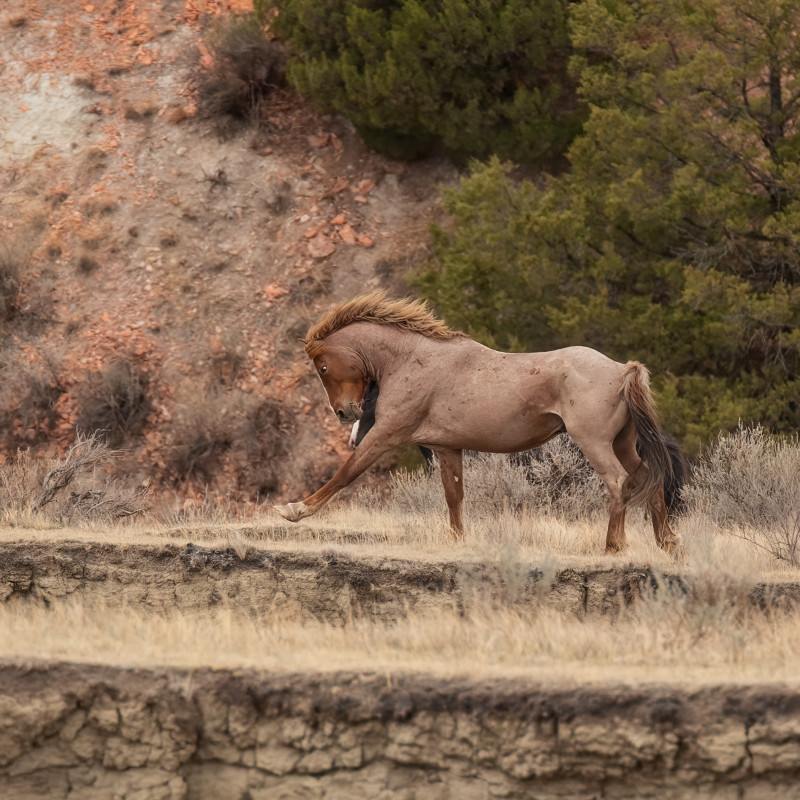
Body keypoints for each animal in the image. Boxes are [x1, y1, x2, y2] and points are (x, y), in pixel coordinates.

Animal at [274, 292, 681, 554]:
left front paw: (295, 510)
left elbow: (346, 473)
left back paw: (613, 545)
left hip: (594, 443)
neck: (411, 359)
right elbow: (454, 496)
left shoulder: (386, 434)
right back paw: (667, 543)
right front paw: (457, 539)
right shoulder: (447, 447)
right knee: (649, 477)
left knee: (619, 482)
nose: (344, 413)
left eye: (323, 367)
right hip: (622, 443)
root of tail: (622, 370)